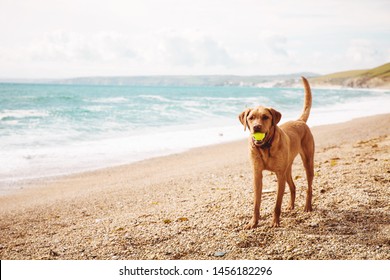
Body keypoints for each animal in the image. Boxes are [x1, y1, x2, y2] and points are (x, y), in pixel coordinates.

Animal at [238, 75, 314, 229]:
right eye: (251, 118)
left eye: (265, 117)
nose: (256, 127)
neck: (265, 146)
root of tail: (300, 121)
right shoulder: (257, 175)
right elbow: (256, 203)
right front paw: (253, 222)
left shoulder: (279, 175)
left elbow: (277, 204)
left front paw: (275, 221)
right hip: (287, 168)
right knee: (293, 186)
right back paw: (291, 205)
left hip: (308, 162)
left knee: (309, 186)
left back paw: (308, 206)